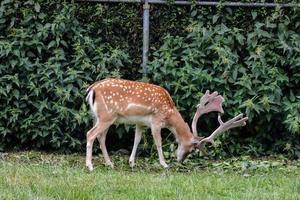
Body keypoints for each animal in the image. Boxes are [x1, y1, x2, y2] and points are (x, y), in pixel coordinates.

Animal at [85, 78, 248, 170]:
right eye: (191, 149)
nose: (180, 161)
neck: (169, 113)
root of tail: (92, 89)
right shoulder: (156, 121)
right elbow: (158, 142)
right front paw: (164, 164)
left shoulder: (140, 123)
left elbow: (137, 140)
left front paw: (131, 163)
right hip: (107, 116)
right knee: (90, 134)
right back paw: (90, 166)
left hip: (100, 117)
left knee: (100, 137)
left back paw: (109, 164)